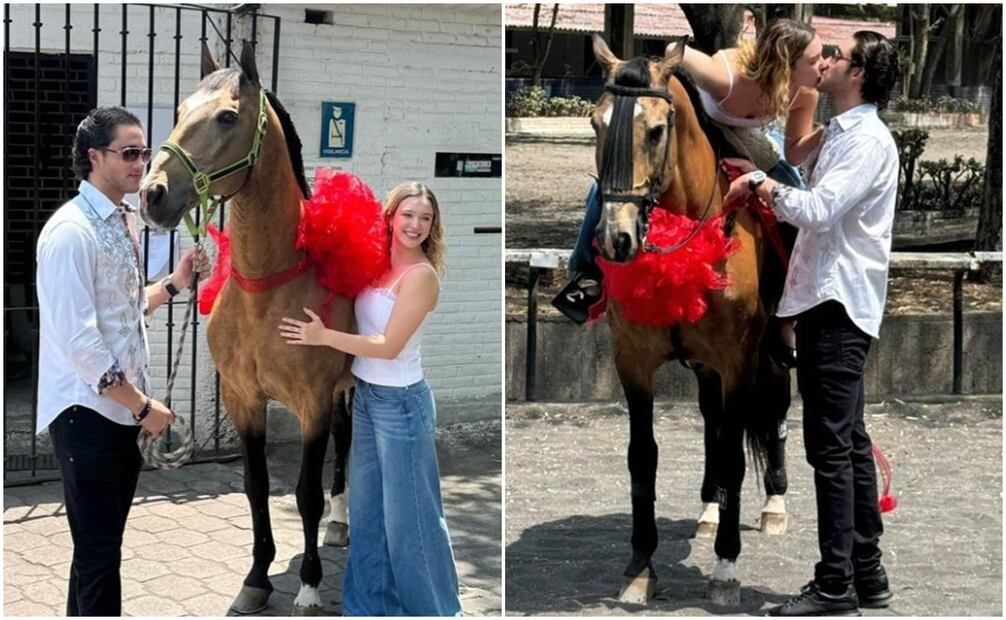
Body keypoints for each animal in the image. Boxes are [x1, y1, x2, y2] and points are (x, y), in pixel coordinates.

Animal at [138, 43, 350, 615]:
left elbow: (303, 493)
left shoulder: (312, 401)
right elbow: (256, 487)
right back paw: (340, 523)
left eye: (228, 117)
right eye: (180, 110)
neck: (268, 289)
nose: (151, 194)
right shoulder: (243, 398)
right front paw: (256, 578)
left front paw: (310, 586)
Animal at [587, 35, 792, 603]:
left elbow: (736, 454)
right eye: (594, 124)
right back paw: (709, 508)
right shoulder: (633, 361)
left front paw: (725, 567)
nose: (616, 239)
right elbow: (643, 456)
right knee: (713, 423)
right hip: (705, 369)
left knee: (775, 412)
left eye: (657, 130)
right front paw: (640, 567)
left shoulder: (740, 361)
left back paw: (774, 504)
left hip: (773, 349)